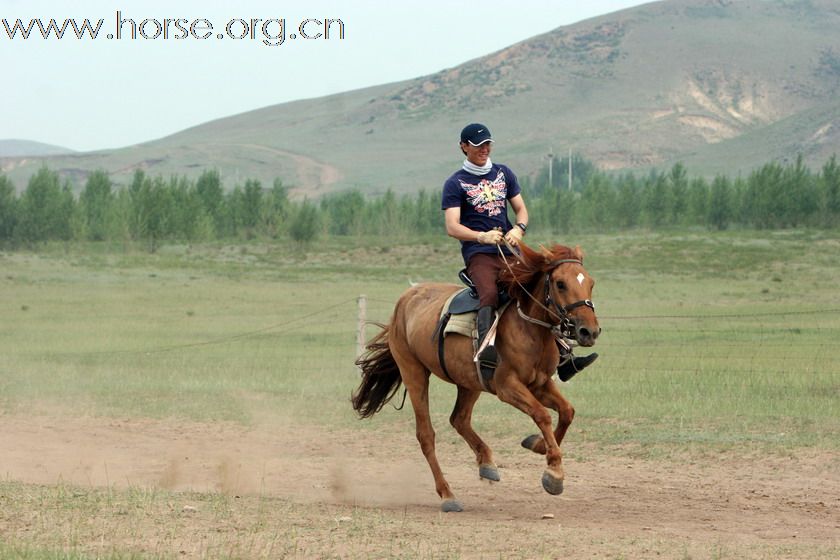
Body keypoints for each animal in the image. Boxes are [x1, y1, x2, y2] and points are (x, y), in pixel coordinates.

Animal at [352, 242, 600, 512]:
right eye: (560, 284)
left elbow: (567, 412)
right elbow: (542, 415)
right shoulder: (507, 387)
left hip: (469, 383)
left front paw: (538, 445)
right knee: (426, 435)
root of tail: (406, 299)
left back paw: (487, 465)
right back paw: (448, 495)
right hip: (414, 373)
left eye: (590, 282)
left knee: (459, 419)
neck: (529, 329)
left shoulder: (540, 384)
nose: (589, 331)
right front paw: (554, 473)